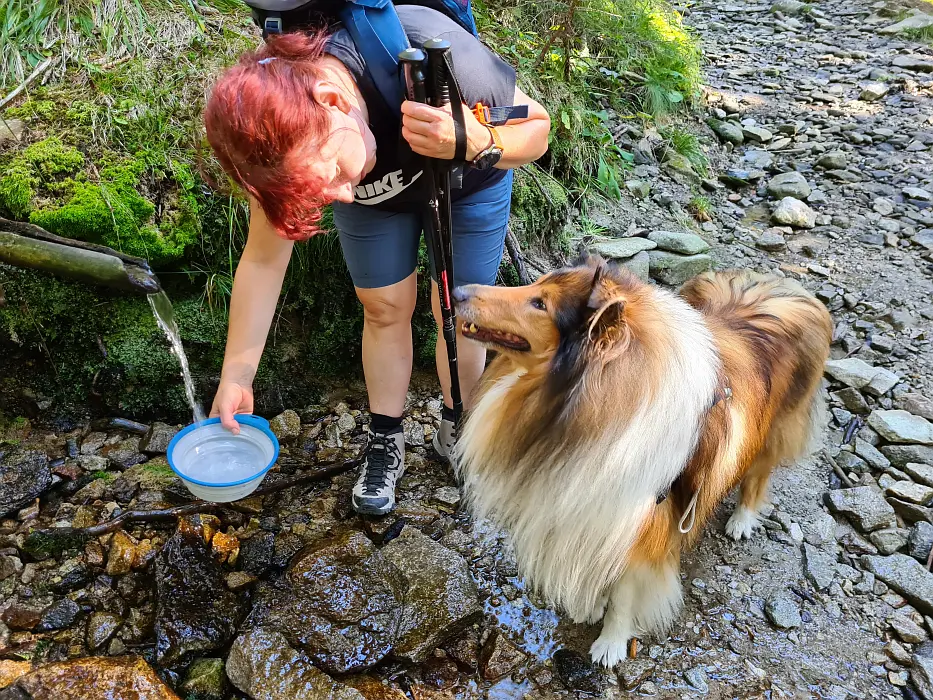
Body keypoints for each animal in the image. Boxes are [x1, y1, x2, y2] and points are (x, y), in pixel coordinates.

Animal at [452, 256, 832, 668]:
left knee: (759, 475)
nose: (456, 292)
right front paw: (593, 605)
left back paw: (742, 519)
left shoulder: (644, 527)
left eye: (541, 304)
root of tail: (782, 285)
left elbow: (625, 595)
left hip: (774, 429)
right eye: (535, 284)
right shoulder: (588, 513)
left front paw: (612, 643)